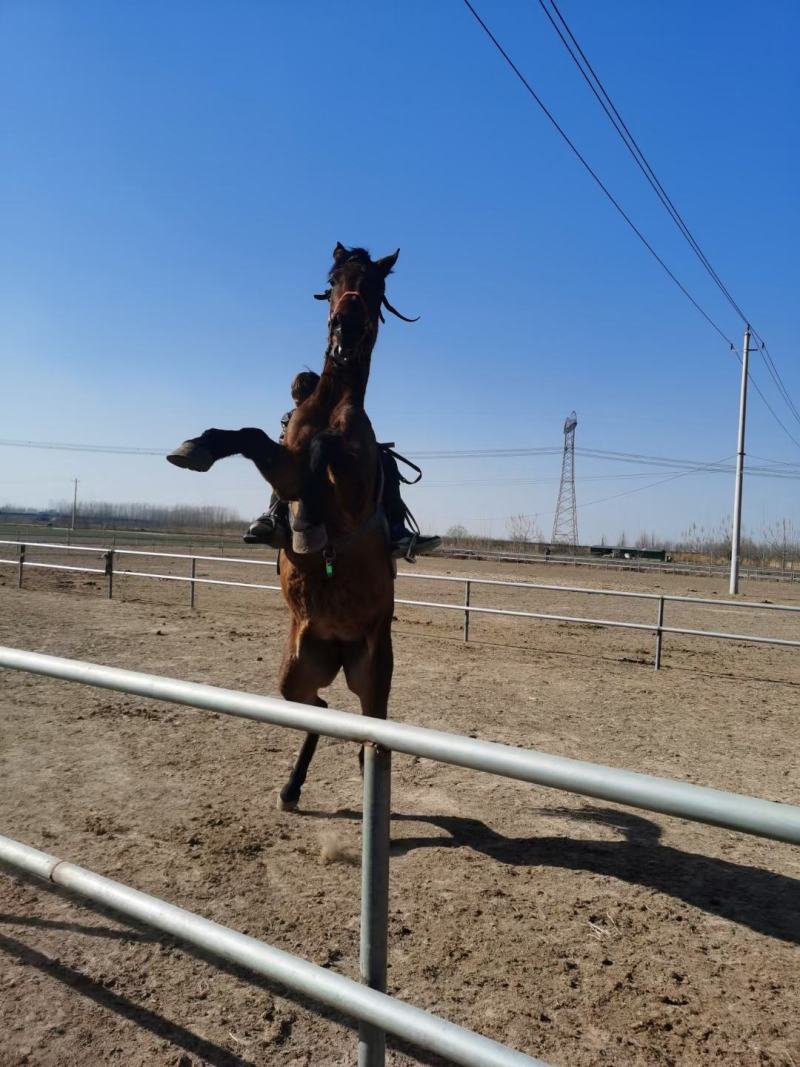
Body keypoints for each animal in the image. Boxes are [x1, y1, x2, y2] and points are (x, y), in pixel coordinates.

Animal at [167, 243, 415, 810]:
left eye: (375, 287)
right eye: (335, 278)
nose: (346, 326)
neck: (331, 405)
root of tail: (341, 647)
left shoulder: (349, 489)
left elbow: (322, 455)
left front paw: (311, 522)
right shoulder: (284, 460)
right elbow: (253, 436)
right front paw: (197, 447)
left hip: (373, 672)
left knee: (371, 725)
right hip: (297, 672)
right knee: (319, 712)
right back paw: (292, 785)